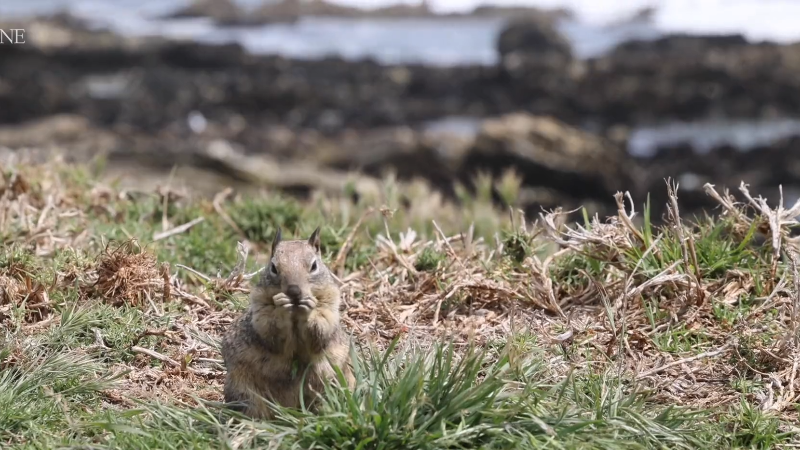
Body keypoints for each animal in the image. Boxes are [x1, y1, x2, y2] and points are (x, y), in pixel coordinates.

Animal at [220, 226, 356, 419]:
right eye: (273, 267)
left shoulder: (329, 308)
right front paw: (282, 307)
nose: (294, 291)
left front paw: (308, 310)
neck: (295, 314)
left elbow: (320, 332)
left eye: (314, 266)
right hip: (243, 388)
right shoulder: (261, 311)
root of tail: (291, 408)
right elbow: (271, 333)